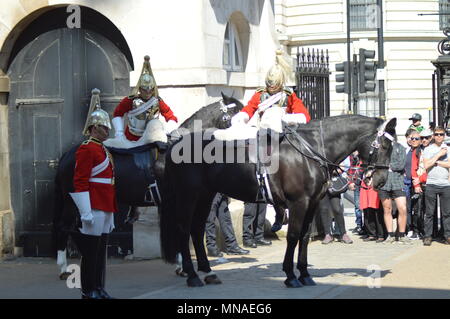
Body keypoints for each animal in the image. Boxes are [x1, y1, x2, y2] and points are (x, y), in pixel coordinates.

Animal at [51, 94, 243, 274]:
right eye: (236, 115)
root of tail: (66, 155)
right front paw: (183, 266)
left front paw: (181, 265)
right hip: (73, 200)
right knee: (64, 227)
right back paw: (64, 268)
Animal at [160, 114, 396, 288]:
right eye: (385, 145)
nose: (381, 180)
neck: (310, 150)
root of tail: (174, 145)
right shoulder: (298, 203)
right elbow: (293, 236)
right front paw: (291, 275)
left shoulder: (312, 203)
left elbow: (304, 236)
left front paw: (304, 274)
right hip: (188, 196)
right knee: (184, 230)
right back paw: (192, 275)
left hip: (205, 196)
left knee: (196, 230)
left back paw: (207, 272)